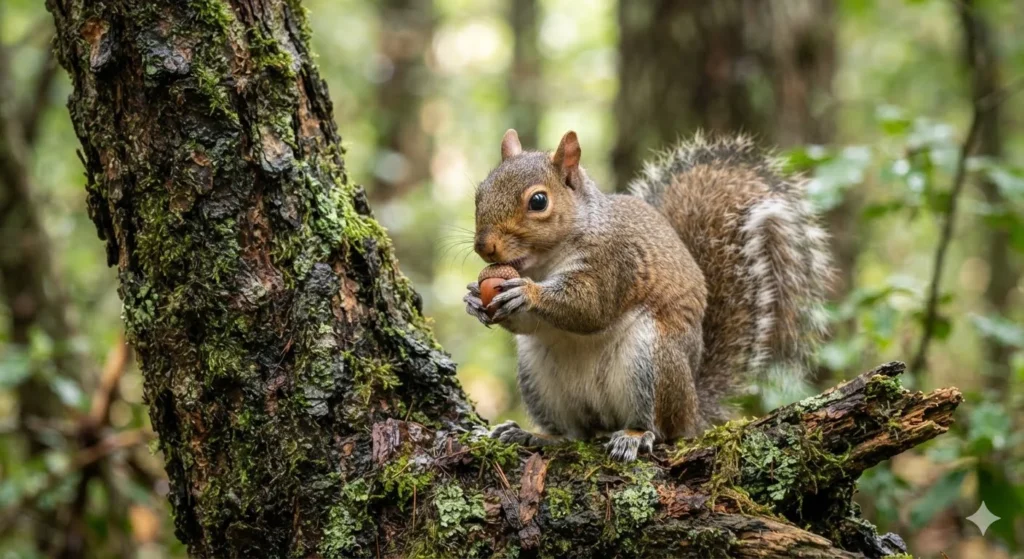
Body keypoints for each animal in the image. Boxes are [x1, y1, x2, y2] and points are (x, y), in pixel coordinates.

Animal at [463, 129, 832, 461]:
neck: (543, 262)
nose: (484, 246)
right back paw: (535, 435)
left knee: (662, 429)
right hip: (539, 378)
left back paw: (636, 436)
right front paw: (474, 301)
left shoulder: (615, 263)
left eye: (538, 201)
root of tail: (693, 410)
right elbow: (528, 324)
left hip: (652, 361)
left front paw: (526, 292)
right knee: (574, 434)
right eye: (480, 193)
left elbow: (590, 308)